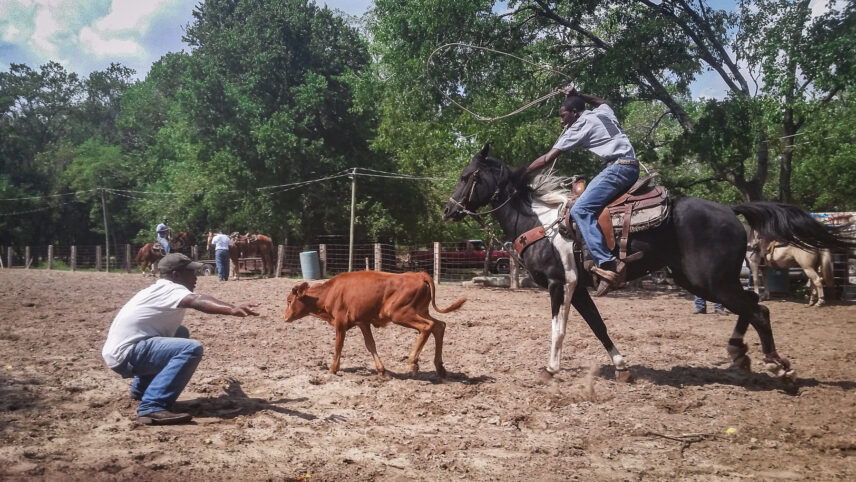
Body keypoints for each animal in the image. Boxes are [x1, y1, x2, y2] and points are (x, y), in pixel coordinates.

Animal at [284, 272, 464, 376]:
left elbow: (338, 346)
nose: (285, 317)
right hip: (420, 311)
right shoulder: (363, 322)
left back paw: (413, 362)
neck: (330, 292)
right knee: (439, 326)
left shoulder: (340, 323)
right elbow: (370, 345)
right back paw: (439, 367)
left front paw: (332, 369)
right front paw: (381, 370)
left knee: (427, 327)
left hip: (400, 314)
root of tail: (419, 275)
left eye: (289, 300)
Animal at [444, 144, 852, 392]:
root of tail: (730, 209)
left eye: (466, 176)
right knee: (752, 303)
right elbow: (599, 327)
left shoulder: (560, 284)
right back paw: (739, 352)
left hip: (711, 280)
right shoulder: (581, 289)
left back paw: (780, 368)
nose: (449, 210)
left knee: (759, 309)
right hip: (704, 280)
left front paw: (551, 369)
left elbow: (558, 329)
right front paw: (622, 367)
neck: (541, 221)